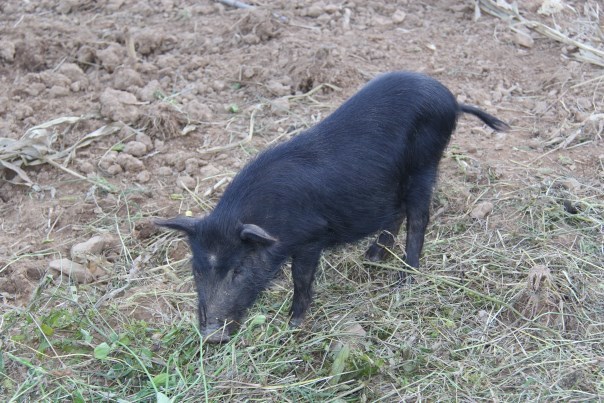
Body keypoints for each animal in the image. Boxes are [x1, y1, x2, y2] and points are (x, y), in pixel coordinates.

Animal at [157, 71, 510, 342]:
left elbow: (301, 279)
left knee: (419, 218)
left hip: (425, 164)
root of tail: (451, 100)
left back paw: (404, 280)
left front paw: (293, 324)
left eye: (239, 270)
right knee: (396, 212)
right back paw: (372, 258)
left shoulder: (311, 237)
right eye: (196, 269)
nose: (211, 336)